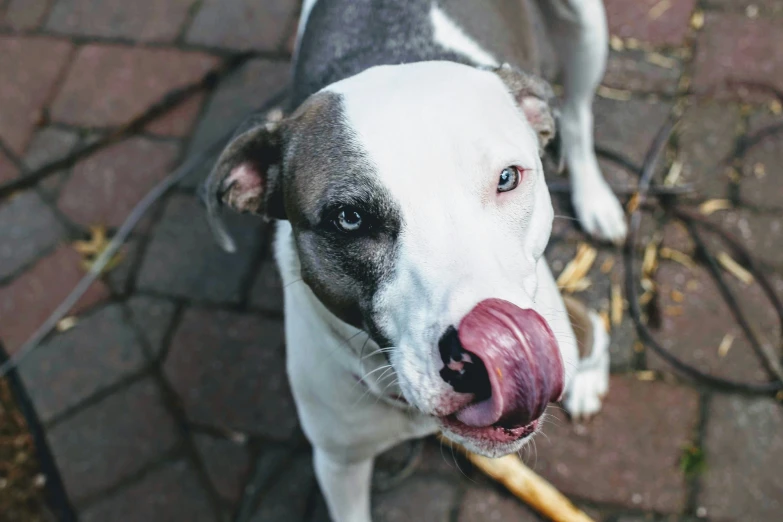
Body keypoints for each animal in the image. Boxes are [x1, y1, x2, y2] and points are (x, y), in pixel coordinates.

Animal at [202, 2, 624, 516]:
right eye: (349, 218)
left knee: (579, 115)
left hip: (582, 28)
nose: (477, 358)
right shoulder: (338, 463)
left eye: (507, 178)